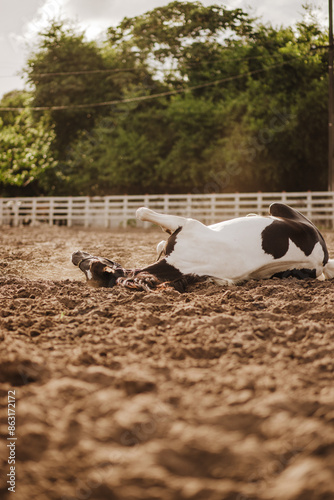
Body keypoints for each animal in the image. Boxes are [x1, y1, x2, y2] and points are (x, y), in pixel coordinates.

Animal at [71, 202, 334, 292]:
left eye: (94, 262)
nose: (74, 254)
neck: (176, 265)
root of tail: (320, 260)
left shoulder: (184, 224)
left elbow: (141, 211)